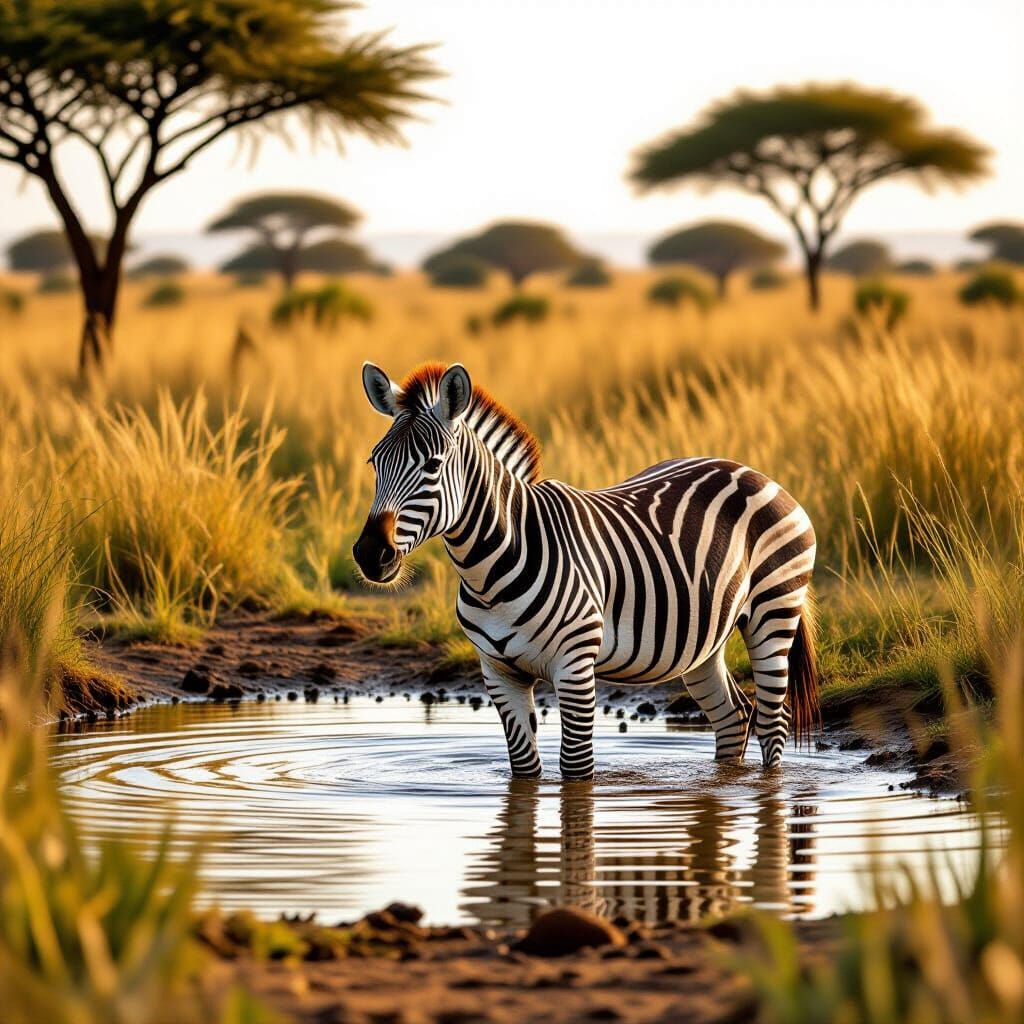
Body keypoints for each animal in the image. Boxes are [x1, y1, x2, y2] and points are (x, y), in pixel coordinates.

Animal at [354, 361, 819, 779]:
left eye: (432, 465)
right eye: (374, 463)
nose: (369, 554)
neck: (488, 572)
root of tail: (753, 472)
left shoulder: (575, 666)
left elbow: (576, 770)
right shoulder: (498, 672)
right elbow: (525, 769)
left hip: (774, 612)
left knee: (773, 723)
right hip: (704, 639)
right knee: (733, 714)